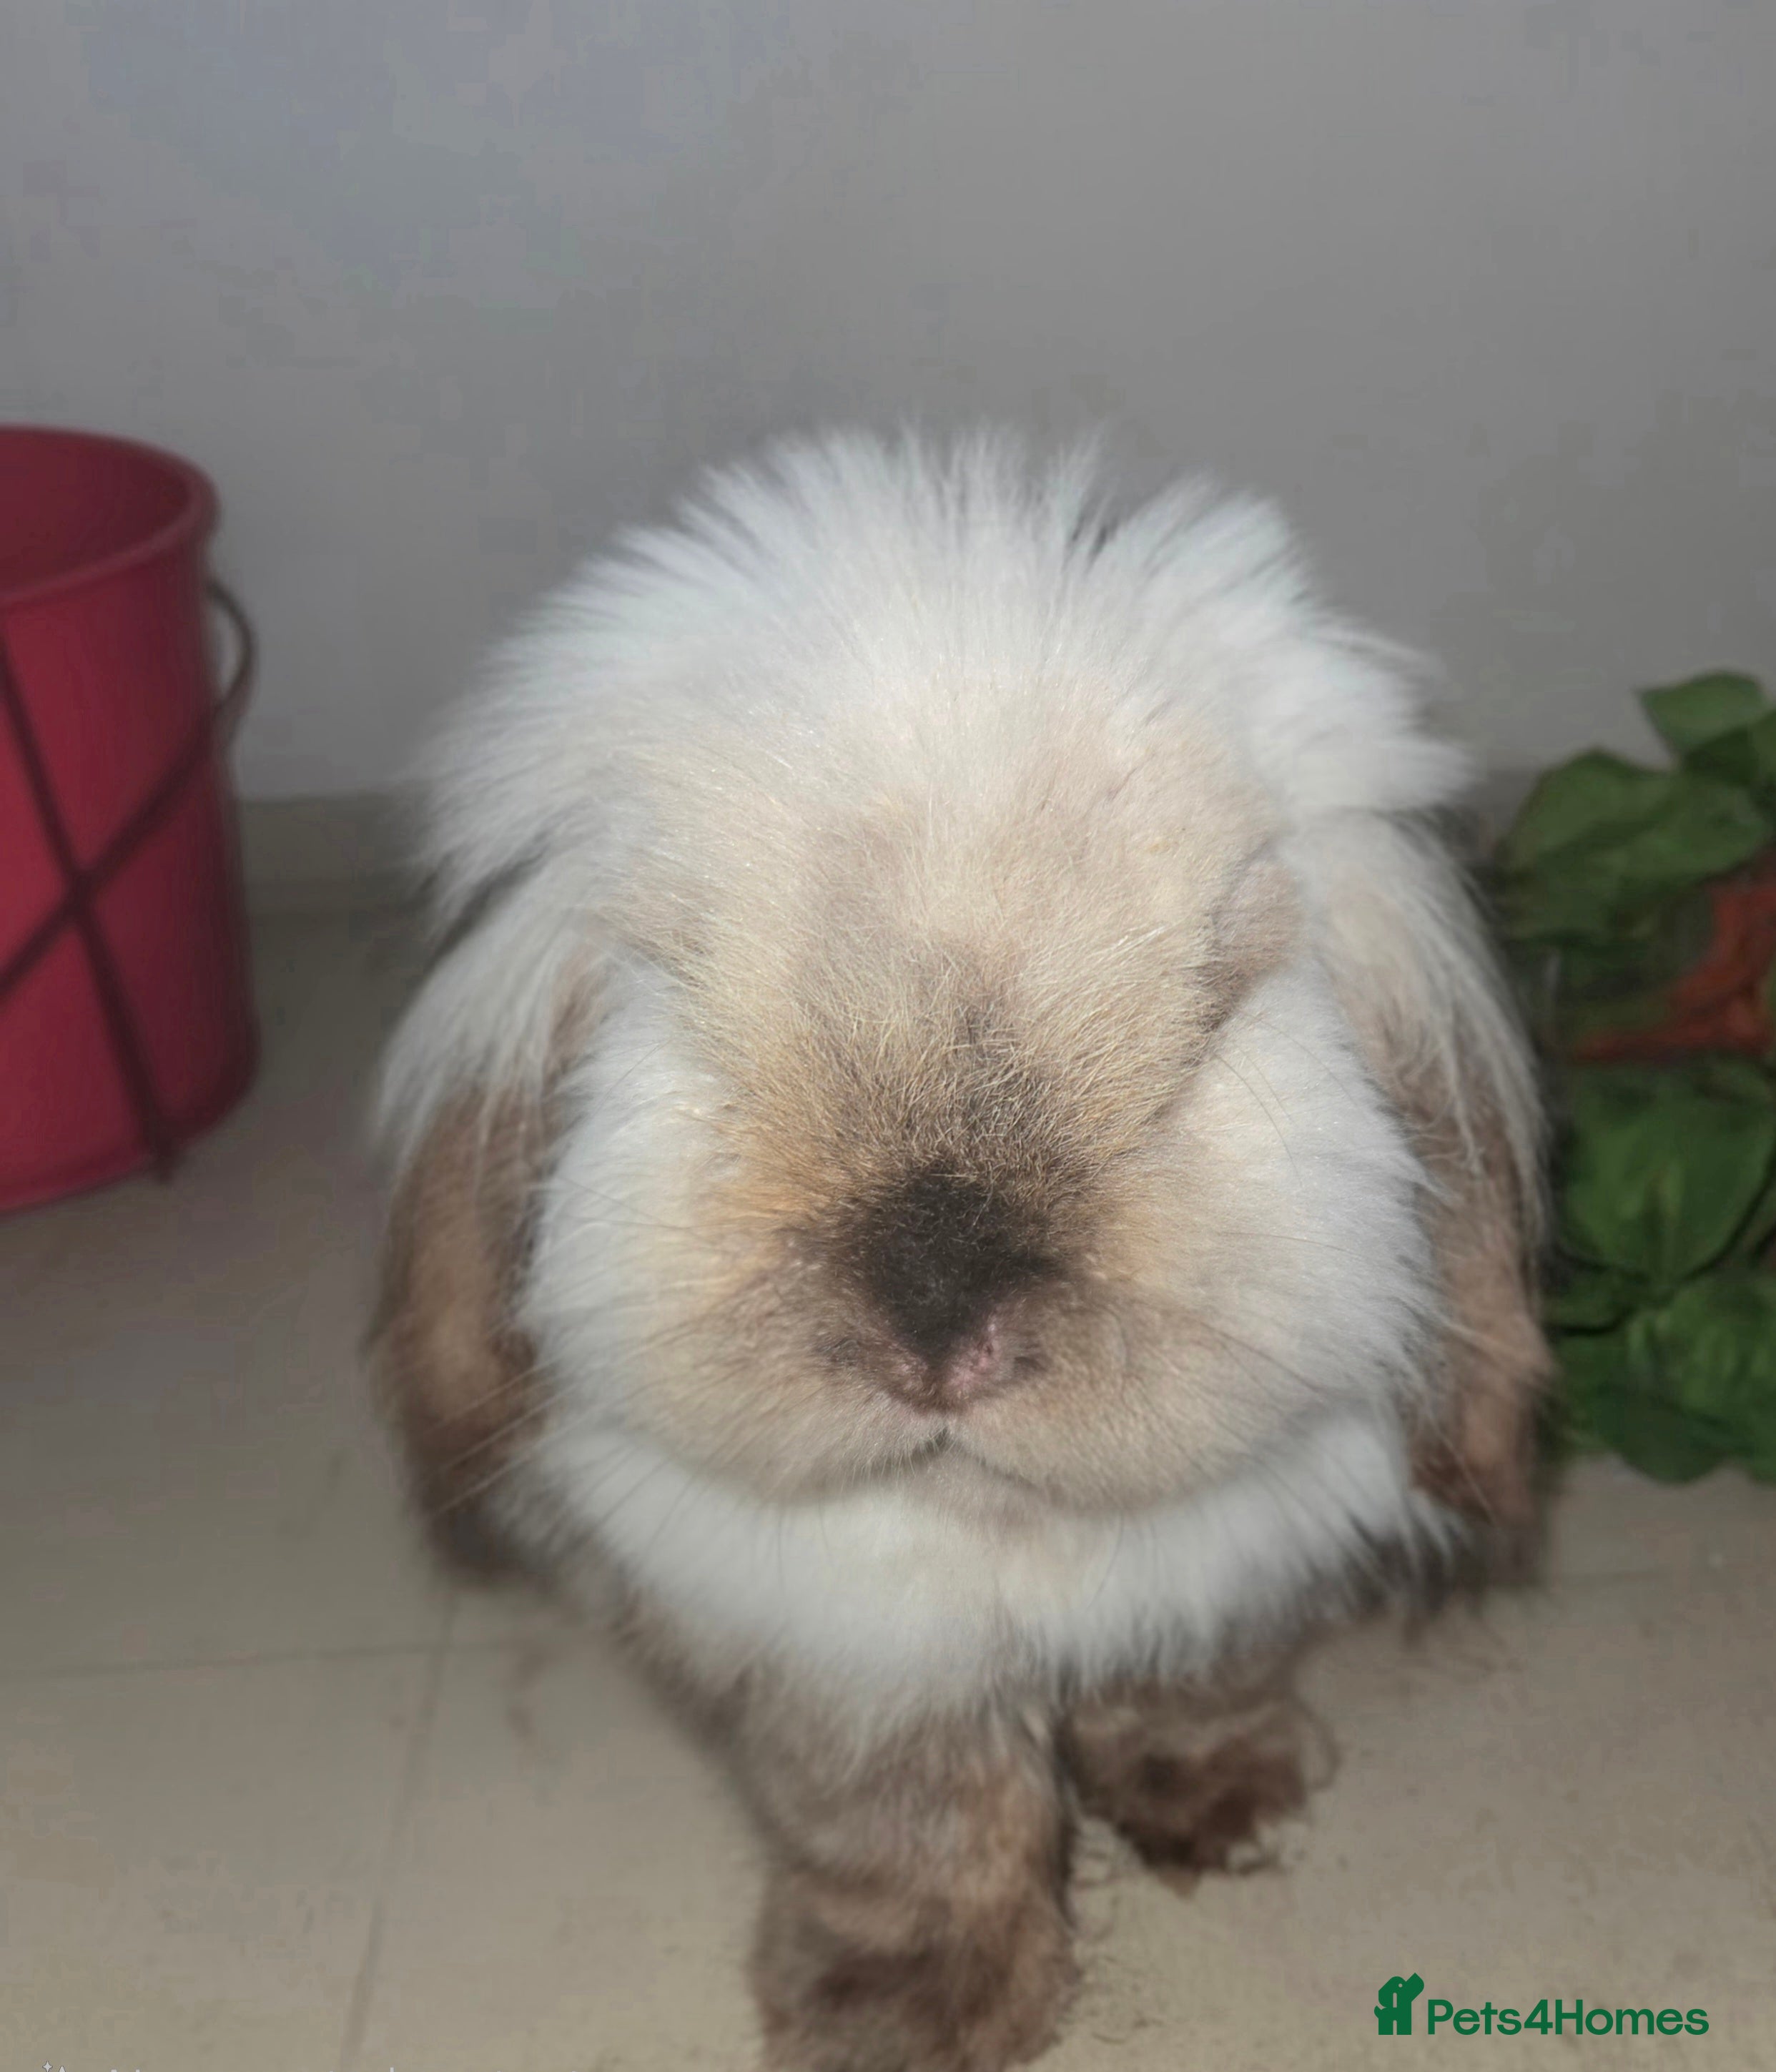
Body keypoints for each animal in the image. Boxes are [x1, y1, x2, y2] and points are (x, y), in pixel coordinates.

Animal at [371, 430, 1548, 2071]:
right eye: (698, 1014)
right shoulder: (849, 1663)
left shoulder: (1228, 1572)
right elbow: (912, 1830)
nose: (938, 1325)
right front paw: (907, 2020)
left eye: (1207, 1027)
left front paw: (1224, 1809)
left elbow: (1190, 1686)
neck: (1005, 1530)